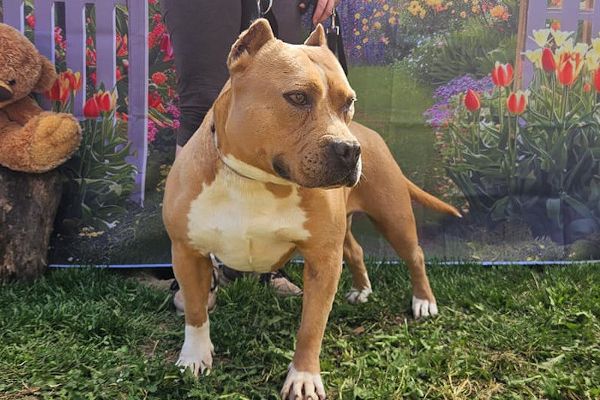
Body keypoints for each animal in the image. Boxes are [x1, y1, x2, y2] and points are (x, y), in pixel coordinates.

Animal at [162, 19, 460, 400]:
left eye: (349, 102)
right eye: (297, 97)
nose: (351, 150)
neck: (255, 180)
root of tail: (369, 134)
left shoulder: (322, 259)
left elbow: (311, 326)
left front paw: (303, 376)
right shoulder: (187, 252)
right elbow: (196, 312)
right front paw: (194, 357)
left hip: (393, 216)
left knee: (415, 255)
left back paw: (423, 302)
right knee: (357, 250)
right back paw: (362, 290)